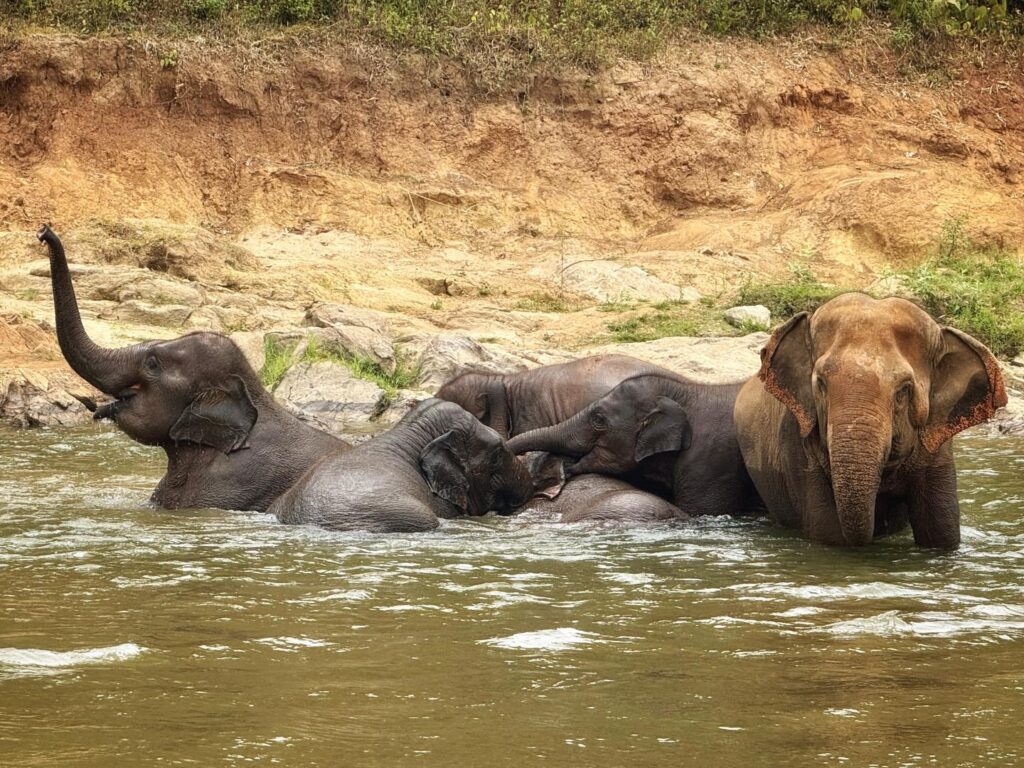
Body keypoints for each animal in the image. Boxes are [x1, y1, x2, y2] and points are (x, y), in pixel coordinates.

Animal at [734, 292, 1007, 548]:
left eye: (903, 390)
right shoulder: (800, 445)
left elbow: (942, 531)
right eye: (821, 384)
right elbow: (830, 533)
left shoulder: (936, 446)